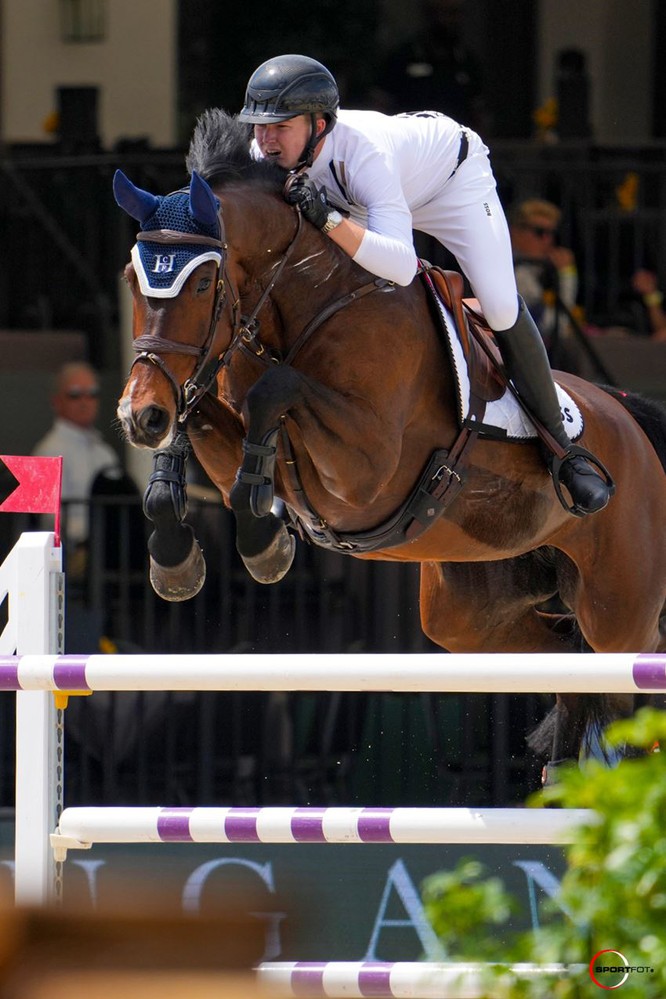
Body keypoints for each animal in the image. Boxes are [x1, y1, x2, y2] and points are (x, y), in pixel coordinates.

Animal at [114, 107, 664, 780]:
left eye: (199, 287)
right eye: (133, 280)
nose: (139, 416)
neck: (305, 303)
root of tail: (632, 421)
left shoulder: (364, 469)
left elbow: (274, 391)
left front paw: (261, 539)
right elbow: (208, 423)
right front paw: (181, 551)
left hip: (620, 609)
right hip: (470, 615)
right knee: (567, 662)